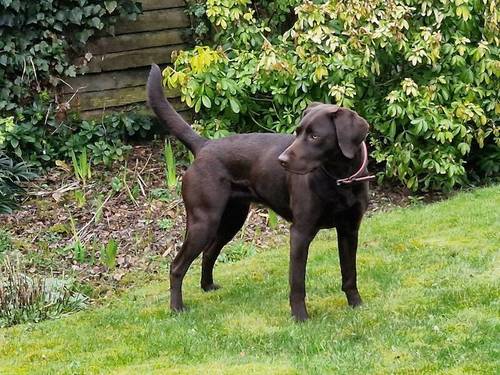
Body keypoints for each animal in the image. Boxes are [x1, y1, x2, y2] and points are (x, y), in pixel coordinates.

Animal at [146, 64, 374, 320]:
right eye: (297, 133)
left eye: (315, 136)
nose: (281, 160)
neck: (339, 179)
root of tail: (204, 145)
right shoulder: (300, 232)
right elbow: (297, 283)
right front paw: (300, 317)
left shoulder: (349, 229)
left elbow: (349, 274)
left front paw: (356, 304)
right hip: (204, 221)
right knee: (177, 266)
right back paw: (177, 308)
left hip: (231, 219)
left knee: (209, 252)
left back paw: (208, 287)